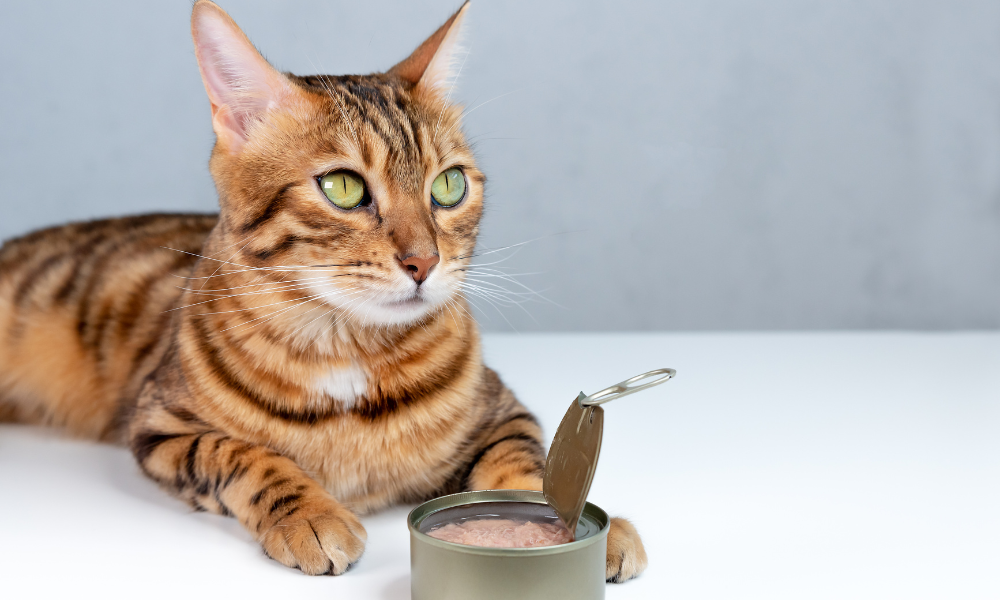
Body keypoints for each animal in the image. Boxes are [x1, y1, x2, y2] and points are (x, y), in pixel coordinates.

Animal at [0, 0, 648, 580]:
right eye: (342, 187)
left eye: (449, 185)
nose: (424, 261)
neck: (348, 350)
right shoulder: (160, 425)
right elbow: (241, 454)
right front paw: (307, 512)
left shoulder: (504, 410)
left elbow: (528, 465)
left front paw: (587, 527)